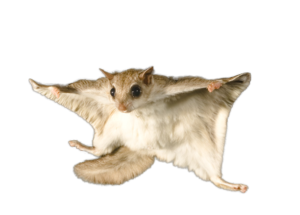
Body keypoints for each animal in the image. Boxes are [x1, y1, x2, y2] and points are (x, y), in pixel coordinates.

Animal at [29, 67, 252, 193]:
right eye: (111, 91)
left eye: (136, 90)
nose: (120, 107)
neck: (140, 109)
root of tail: (142, 148)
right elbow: (73, 87)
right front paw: (55, 89)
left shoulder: (174, 85)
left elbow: (201, 82)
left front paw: (215, 84)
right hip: (110, 132)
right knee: (100, 151)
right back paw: (80, 145)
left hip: (202, 146)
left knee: (213, 177)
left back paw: (229, 184)